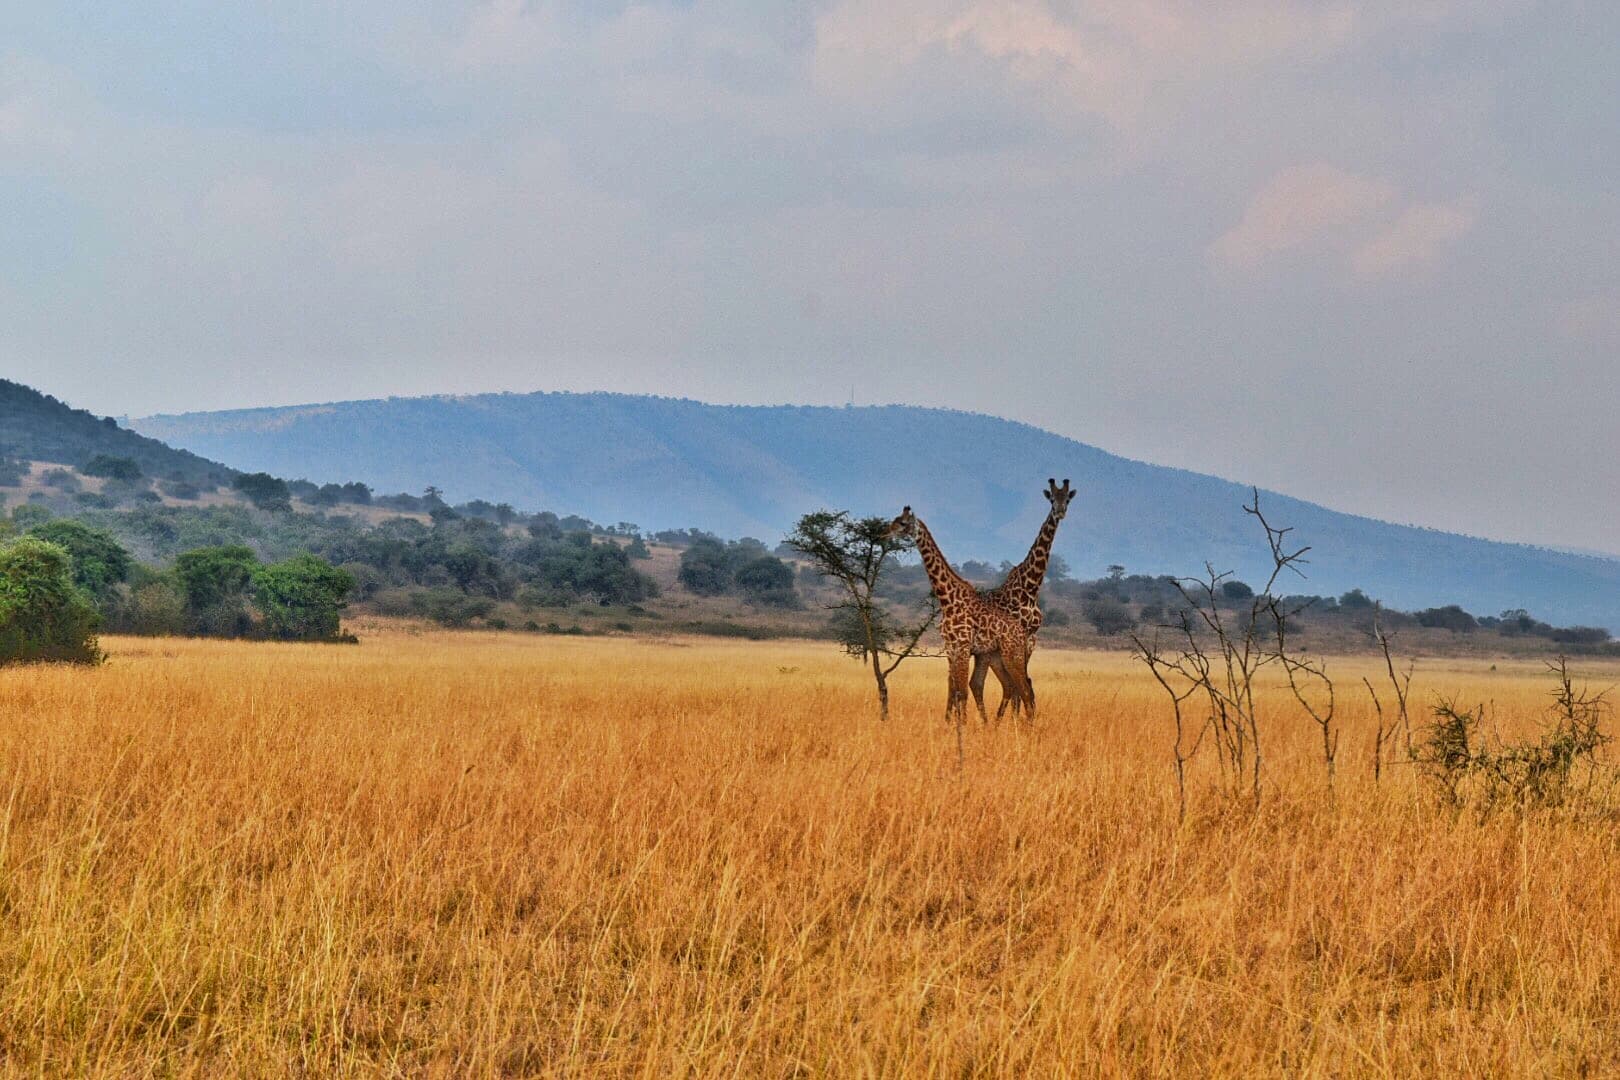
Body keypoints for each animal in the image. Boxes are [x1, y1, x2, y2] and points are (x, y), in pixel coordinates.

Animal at [885, 507, 1036, 736]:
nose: (884, 533)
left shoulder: (963, 646)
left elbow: (962, 691)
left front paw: (961, 729)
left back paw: (1027, 731)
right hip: (998, 656)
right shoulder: (952, 647)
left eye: (902, 523)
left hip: (1013, 654)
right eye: (895, 520)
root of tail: (1022, 633)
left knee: (1026, 690)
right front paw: (954, 725)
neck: (947, 599)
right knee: (1014, 687)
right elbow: (955, 690)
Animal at [971, 478, 1075, 720]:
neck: (1030, 588)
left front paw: (1020, 720)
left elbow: (1025, 683)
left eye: (1067, 499)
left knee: (993, 684)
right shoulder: (1018, 638)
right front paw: (1017, 721)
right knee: (984, 684)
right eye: (1051, 499)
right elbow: (1022, 685)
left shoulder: (1031, 639)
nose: (1060, 512)